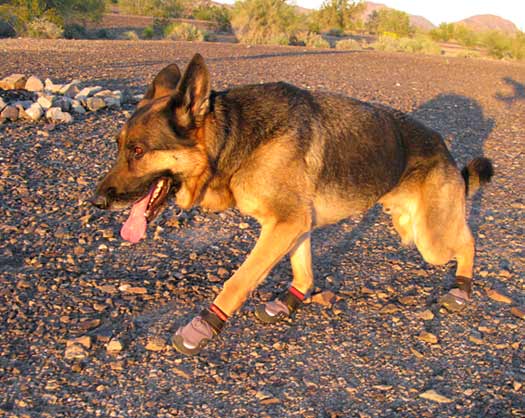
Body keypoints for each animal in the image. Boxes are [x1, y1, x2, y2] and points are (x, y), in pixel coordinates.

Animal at [92, 54, 494, 354]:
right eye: (117, 146)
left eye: (138, 151)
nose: (97, 201)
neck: (233, 139)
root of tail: (444, 148)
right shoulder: (295, 224)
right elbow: (303, 269)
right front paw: (291, 299)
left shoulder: (286, 222)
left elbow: (238, 281)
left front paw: (205, 325)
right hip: (408, 225)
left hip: (431, 241)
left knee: (468, 241)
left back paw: (461, 289)